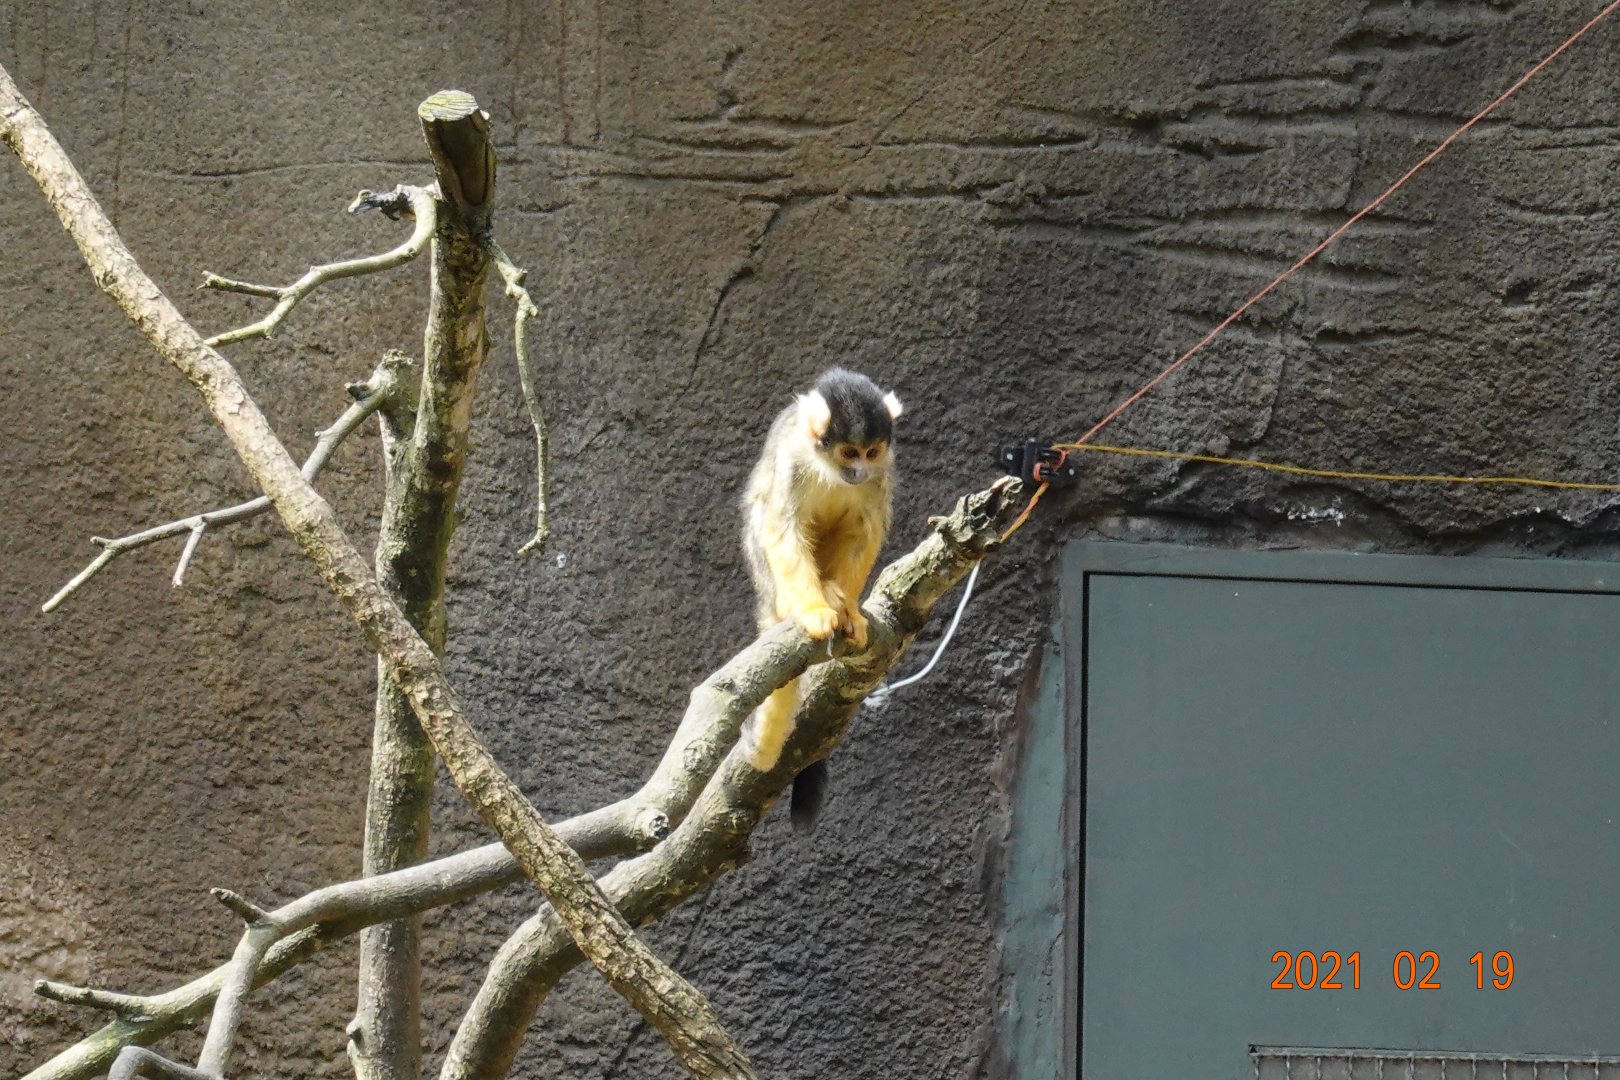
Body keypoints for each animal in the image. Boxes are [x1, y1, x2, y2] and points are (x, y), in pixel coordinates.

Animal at [741, 368, 902, 829]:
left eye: (871, 452)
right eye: (849, 452)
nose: (858, 471)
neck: (827, 467)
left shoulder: (882, 472)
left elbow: (864, 531)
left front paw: (847, 610)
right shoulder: (792, 460)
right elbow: (783, 527)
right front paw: (816, 610)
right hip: (766, 577)